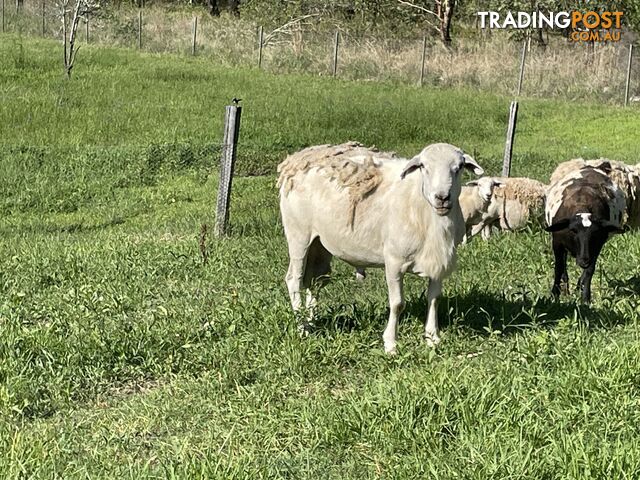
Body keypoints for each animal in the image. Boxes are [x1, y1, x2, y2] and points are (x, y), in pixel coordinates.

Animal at [278, 141, 482, 354]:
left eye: (459, 167)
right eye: (423, 166)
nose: (442, 197)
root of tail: (296, 159)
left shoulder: (437, 261)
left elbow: (434, 298)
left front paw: (432, 338)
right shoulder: (394, 261)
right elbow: (397, 303)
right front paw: (391, 344)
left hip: (319, 244)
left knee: (315, 280)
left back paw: (312, 323)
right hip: (298, 234)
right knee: (294, 279)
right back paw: (301, 327)